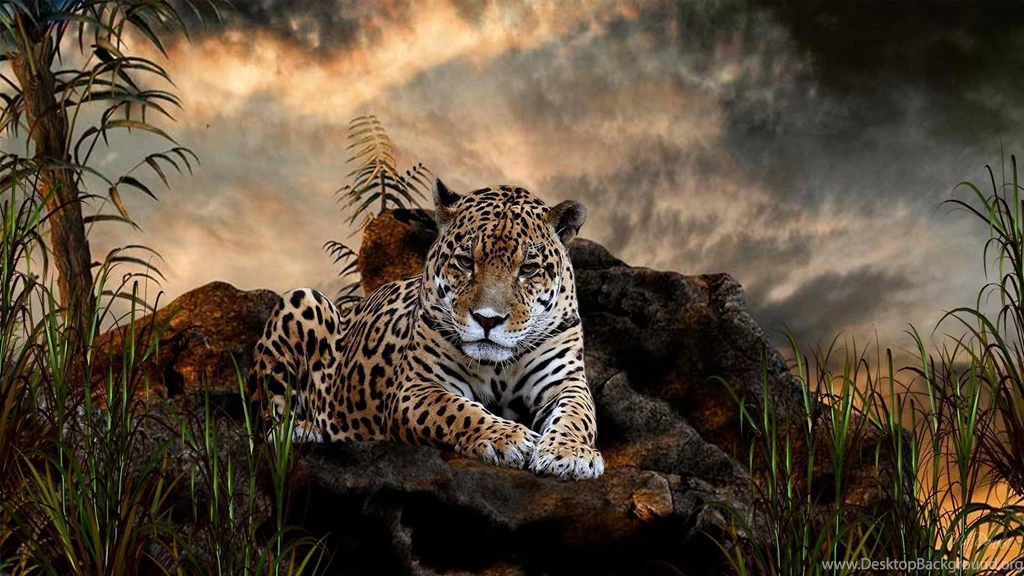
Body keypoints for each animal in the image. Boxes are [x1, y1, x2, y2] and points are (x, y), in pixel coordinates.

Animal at [247, 178, 603, 480]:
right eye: (465, 262)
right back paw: (304, 430)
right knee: (266, 424)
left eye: (528, 268)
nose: (487, 319)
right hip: (301, 299)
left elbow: (577, 415)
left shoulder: (565, 382)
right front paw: (509, 437)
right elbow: (458, 411)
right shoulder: (416, 388)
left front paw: (570, 453)